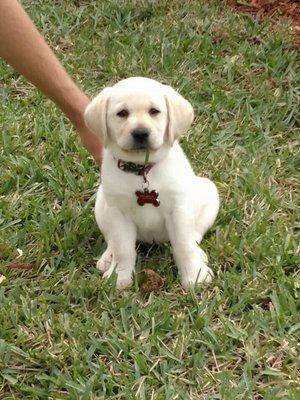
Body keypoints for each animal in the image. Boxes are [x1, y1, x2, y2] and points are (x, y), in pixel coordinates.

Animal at [83, 76, 219, 290]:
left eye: (154, 111)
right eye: (122, 113)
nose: (140, 133)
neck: (142, 170)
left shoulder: (178, 210)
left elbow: (183, 245)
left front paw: (194, 276)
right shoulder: (118, 213)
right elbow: (123, 249)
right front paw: (119, 277)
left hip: (209, 193)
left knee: (195, 235)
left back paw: (199, 255)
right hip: (102, 203)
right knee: (111, 239)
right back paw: (108, 257)